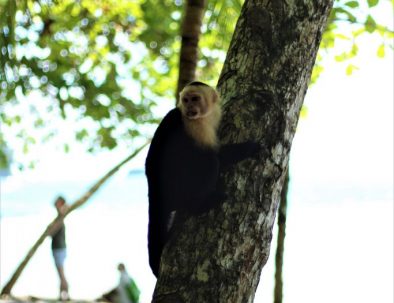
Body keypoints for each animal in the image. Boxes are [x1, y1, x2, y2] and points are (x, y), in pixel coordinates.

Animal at [144, 81, 258, 278]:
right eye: (186, 100)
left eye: (195, 99)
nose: (189, 107)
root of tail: (154, 190)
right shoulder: (195, 125)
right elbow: (214, 155)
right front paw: (249, 147)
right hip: (178, 186)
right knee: (209, 162)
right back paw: (200, 204)